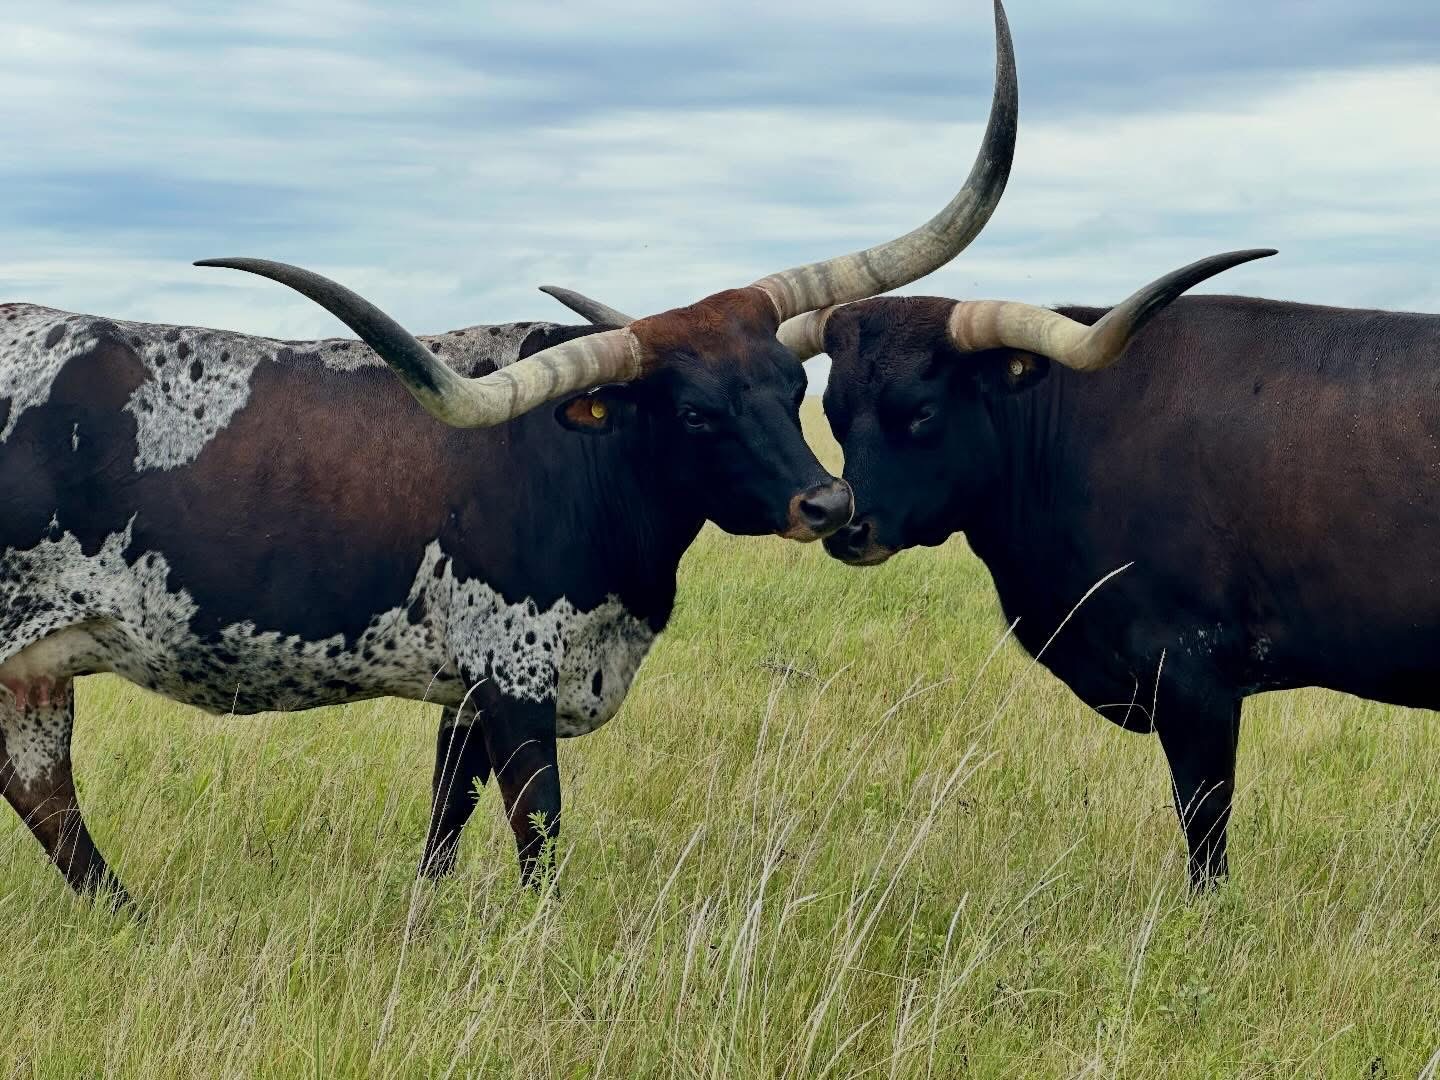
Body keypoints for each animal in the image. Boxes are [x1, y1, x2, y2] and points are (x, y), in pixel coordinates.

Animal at [0, 1, 1018, 905]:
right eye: (693, 414)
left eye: (787, 382)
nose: (828, 504)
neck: (587, 469)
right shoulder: (516, 675)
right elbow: (540, 835)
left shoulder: (466, 693)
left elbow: (447, 821)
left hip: (35, 670)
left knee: (42, 791)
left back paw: (127, 916)